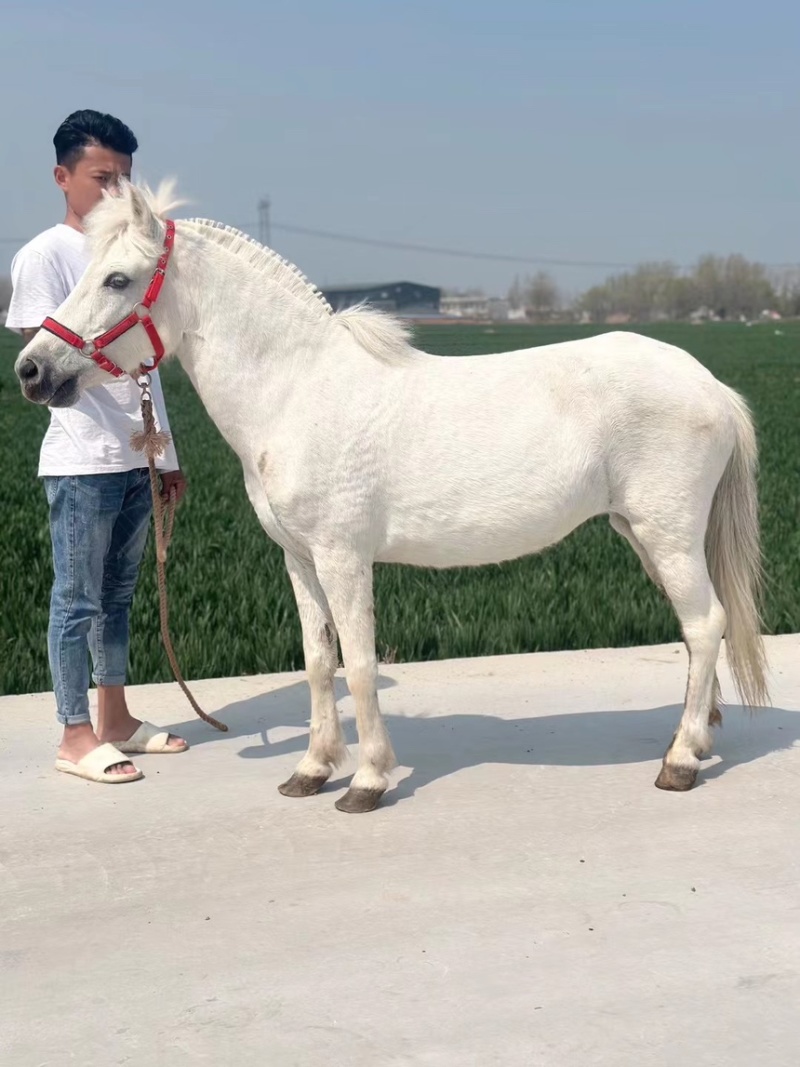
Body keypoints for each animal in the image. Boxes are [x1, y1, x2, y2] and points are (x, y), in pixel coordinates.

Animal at [15, 181, 769, 813]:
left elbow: (360, 664)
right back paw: (695, 740)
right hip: (642, 533)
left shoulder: (344, 558)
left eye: (117, 278)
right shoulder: (299, 559)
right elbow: (318, 662)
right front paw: (312, 770)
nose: (31, 370)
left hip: (667, 534)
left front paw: (368, 780)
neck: (297, 388)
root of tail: (709, 384)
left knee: (705, 624)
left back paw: (680, 761)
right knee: (699, 630)